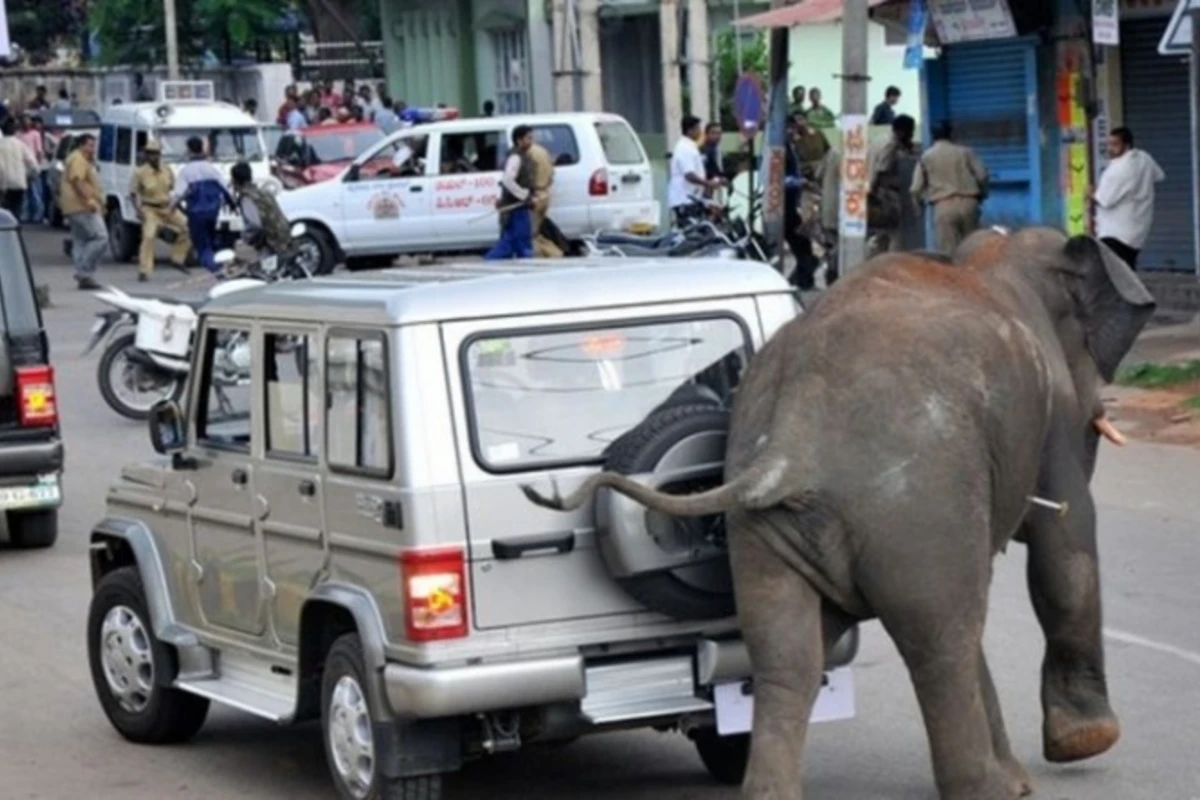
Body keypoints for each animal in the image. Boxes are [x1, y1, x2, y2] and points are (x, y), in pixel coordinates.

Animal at [523, 226, 1152, 800]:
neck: (988, 256)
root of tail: (791, 441)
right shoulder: (1051, 418)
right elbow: (1064, 543)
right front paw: (1085, 741)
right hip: (914, 504)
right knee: (941, 637)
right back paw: (991, 793)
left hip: (773, 529)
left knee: (787, 656)